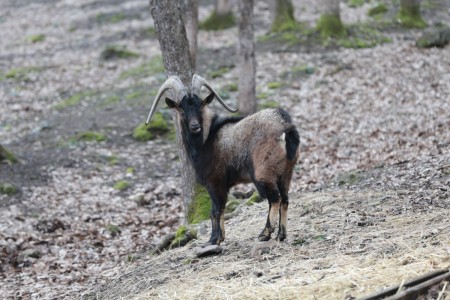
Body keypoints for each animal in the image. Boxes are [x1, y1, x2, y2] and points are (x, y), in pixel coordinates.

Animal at [148, 75, 300, 246]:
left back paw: (265, 234)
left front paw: (213, 239)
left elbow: (215, 209)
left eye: (200, 106)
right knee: (285, 199)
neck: (207, 139)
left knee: (275, 198)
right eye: (181, 109)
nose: (195, 126)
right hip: (286, 172)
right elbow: (218, 209)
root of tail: (285, 127)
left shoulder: (215, 182)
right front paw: (219, 238)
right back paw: (281, 235)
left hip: (263, 172)